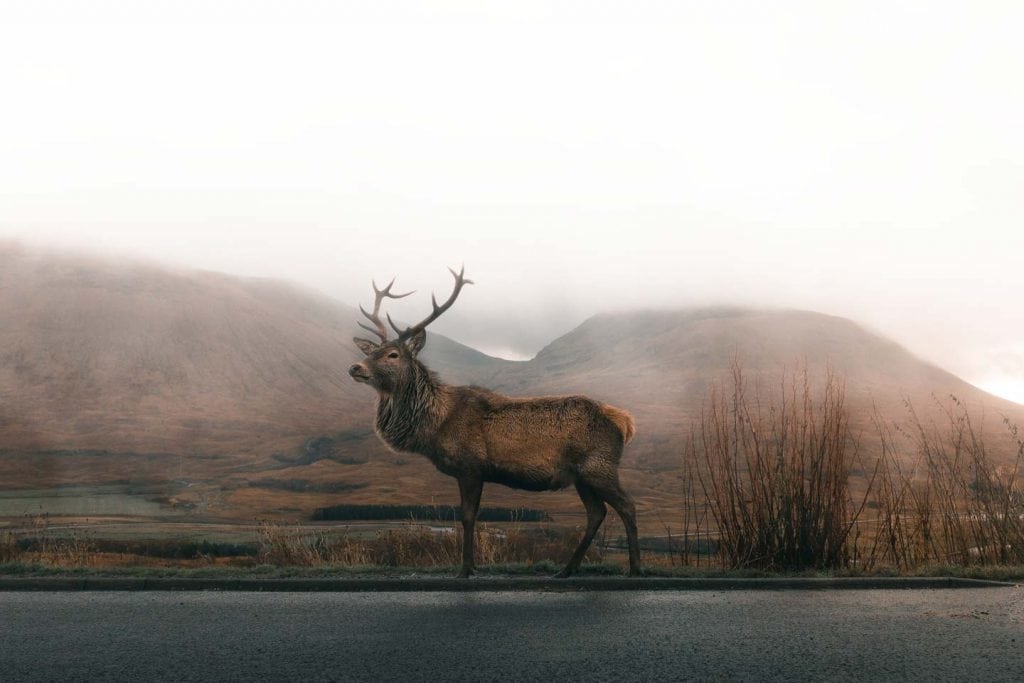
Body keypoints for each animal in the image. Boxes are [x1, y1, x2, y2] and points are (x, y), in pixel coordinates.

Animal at [347, 266, 641, 578]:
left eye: (393, 354)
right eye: (370, 352)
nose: (355, 367)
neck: (435, 426)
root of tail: (624, 422)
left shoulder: (471, 466)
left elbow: (467, 517)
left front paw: (465, 569)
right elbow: (471, 517)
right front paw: (473, 565)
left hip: (600, 466)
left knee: (627, 505)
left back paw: (635, 567)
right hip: (581, 475)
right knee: (597, 512)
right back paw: (566, 569)